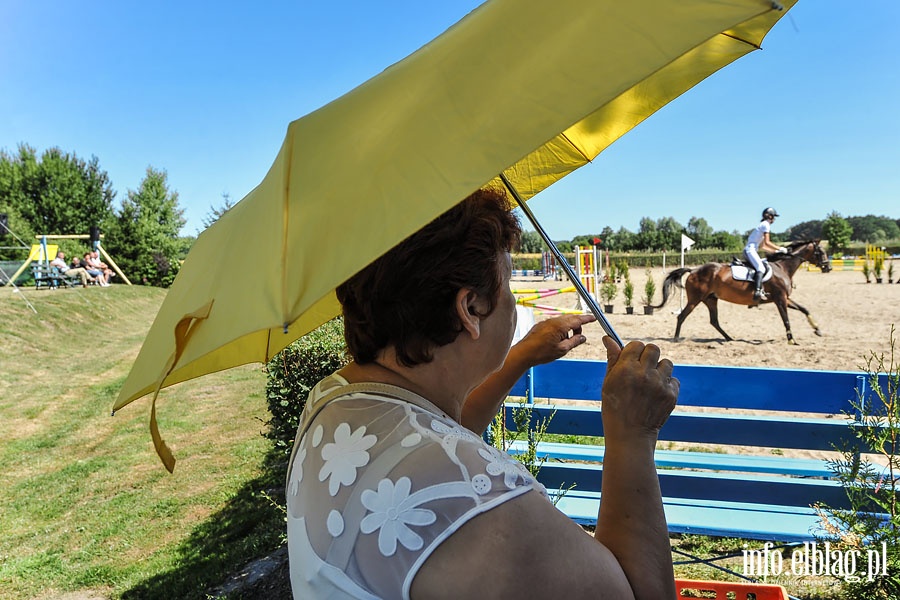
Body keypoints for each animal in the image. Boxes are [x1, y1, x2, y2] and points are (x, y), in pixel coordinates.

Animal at [652, 238, 828, 342]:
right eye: (821, 252)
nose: (828, 267)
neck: (782, 267)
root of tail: (694, 270)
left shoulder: (785, 298)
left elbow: (804, 309)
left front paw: (818, 330)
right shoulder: (780, 299)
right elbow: (786, 319)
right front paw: (792, 340)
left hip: (710, 299)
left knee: (714, 321)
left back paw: (730, 339)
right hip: (695, 299)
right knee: (681, 316)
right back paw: (676, 339)